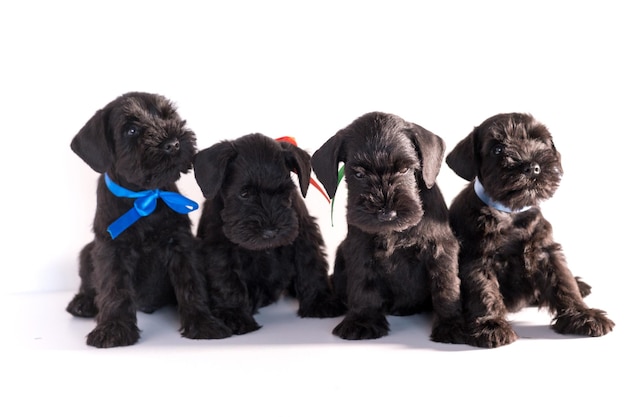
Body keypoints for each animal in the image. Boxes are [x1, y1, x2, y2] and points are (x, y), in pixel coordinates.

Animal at [66, 92, 232, 348]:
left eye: (168, 116)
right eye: (131, 130)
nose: (173, 143)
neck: (145, 196)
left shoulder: (181, 246)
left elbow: (191, 284)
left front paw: (203, 322)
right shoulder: (112, 249)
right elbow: (115, 289)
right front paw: (113, 329)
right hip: (87, 252)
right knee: (88, 283)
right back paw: (82, 302)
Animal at [193, 133, 344, 334]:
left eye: (285, 192)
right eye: (244, 193)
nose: (270, 232)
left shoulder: (303, 236)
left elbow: (311, 266)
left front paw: (320, 301)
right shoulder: (219, 249)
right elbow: (226, 280)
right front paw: (233, 314)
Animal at [310, 111, 464, 342]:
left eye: (405, 169)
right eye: (359, 174)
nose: (386, 213)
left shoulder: (441, 249)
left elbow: (446, 286)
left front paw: (452, 325)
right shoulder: (360, 250)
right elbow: (363, 285)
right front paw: (362, 321)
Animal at [446, 112, 612, 346]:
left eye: (540, 142)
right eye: (497, 149)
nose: (532, 167)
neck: (511, 212)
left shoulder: (545, 251)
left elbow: (564, 282)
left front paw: (584, 316)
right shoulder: (478, 259)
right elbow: (484, 292)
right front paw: (491, 325)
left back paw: (581, 285)